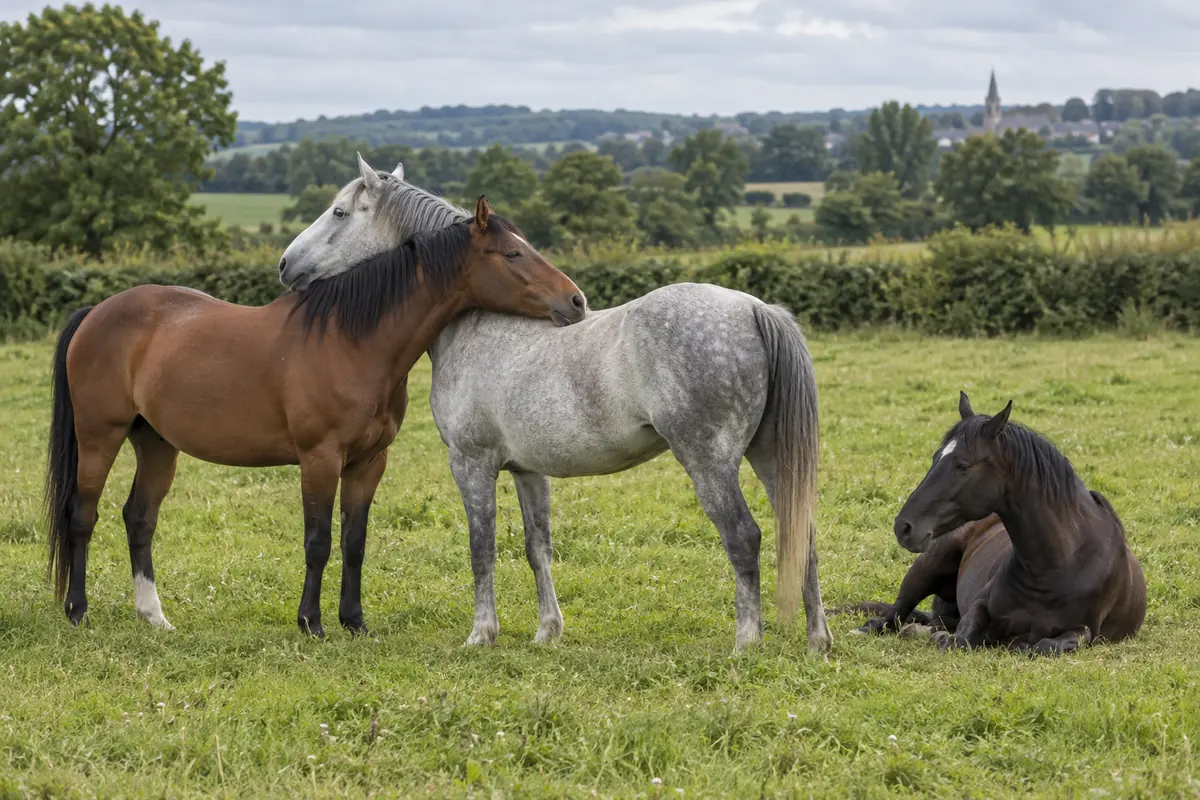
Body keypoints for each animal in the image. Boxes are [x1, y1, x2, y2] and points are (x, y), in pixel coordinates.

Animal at [44, 153, 586, 638]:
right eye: (513, 254)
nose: (576, 300)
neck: (351, 340)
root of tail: (97, 312)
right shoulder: (319, 458)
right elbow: (318, 541)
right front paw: (312, 623)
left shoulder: (369, 463)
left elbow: (354, 541)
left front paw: (355, 621)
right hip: (99, 437)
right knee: (82, 515)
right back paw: (77, 611)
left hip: (156, 444)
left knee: (139, 519)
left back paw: (154, 617)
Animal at [279, 174, 830, 654]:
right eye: (514, 250)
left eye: (339, 212)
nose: (286, 265)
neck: (477, 324)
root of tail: (756, 309)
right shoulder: (528, 471)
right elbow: (536, 547)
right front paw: (548, 632)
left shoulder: (471, 463)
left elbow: (482, 546)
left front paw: (481, 634)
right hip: (771, 457)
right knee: (800, 531)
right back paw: (817, 642)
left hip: (709, 463)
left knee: (744, 537)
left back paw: (747, 643)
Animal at [850, 392, 1146, 656]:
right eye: (935, 457)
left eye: (963, 466)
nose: (904, 527)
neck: (1060, 564)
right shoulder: (979, 606)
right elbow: (961, 638)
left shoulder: (1087, 630)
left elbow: (1054, 644)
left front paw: (1023, 645)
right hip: (927, 567)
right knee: (894, 615)